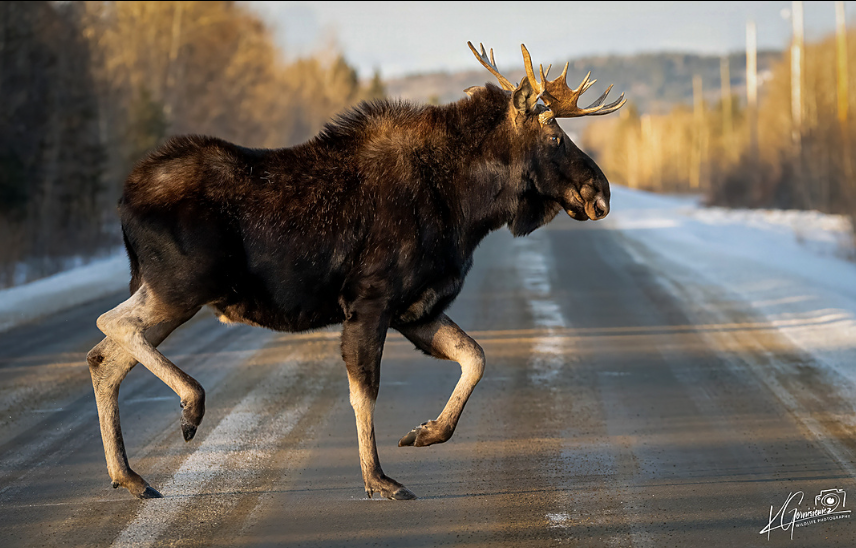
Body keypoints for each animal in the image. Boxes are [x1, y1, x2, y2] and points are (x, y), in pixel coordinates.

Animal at [86, 42, 625, 501]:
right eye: (554, 136)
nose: (601, 193)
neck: (469, 207)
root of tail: (124, 200)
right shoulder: (371, 301)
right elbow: (365, 393)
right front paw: (378, 478)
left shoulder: (417, 308)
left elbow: (475, 357)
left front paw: (426, 433)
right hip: (181, 285)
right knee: (112, 325)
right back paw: (190, 407)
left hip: (171, 291)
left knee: (103, 359)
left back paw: (128, 476)